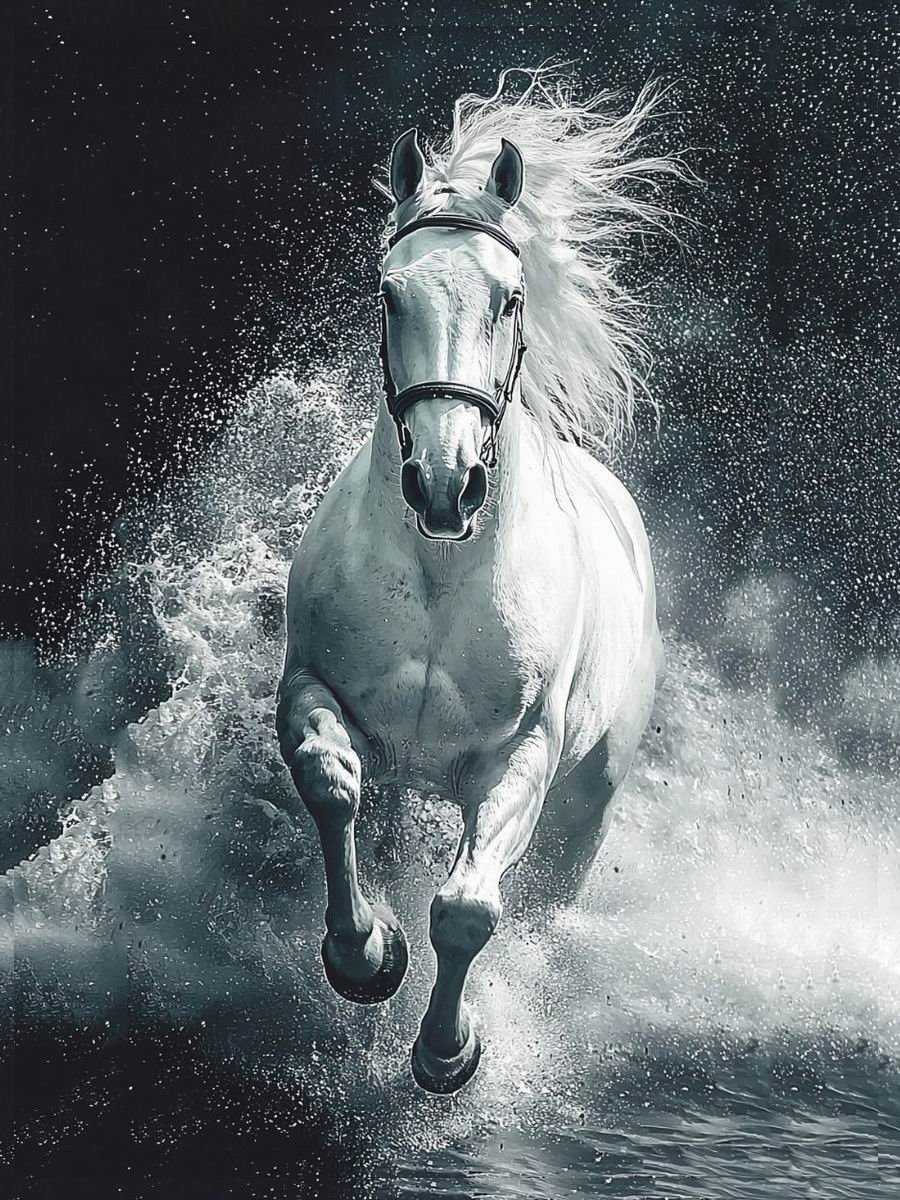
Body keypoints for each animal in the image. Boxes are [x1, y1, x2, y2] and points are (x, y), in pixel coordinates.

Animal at [276, 68, 678, 1094]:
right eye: (389, 294)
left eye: (508, 297)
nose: (445, 481)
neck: (443, 568)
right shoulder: (312, 687)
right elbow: (331, 788)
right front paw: (365, 956)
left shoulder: (519, 759)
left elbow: (465, 911)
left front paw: (446, 1051)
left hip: (585, 811)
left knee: (537, 904)